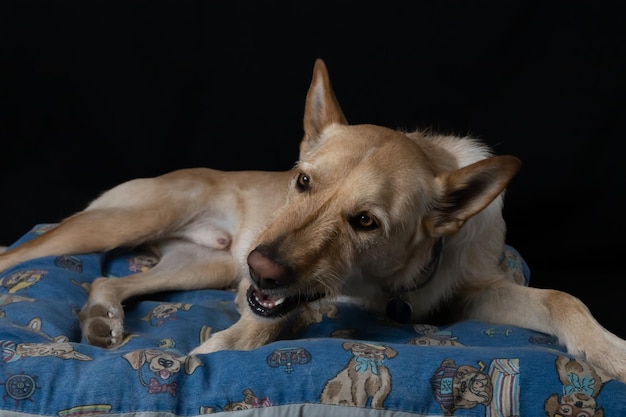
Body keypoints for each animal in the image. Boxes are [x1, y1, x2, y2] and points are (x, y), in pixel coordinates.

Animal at [1, 57, 624, 380]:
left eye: (367, 222)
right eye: (302, 182)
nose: (261, 266)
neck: (396, 286)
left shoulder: (474, 293)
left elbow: (561, 298)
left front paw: (609, 351)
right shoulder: (277, 291)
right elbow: (281, 316)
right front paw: (221, 349)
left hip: (204, 266)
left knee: (108, 281)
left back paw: (100, 319)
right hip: (134, 222)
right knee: (18, 253)